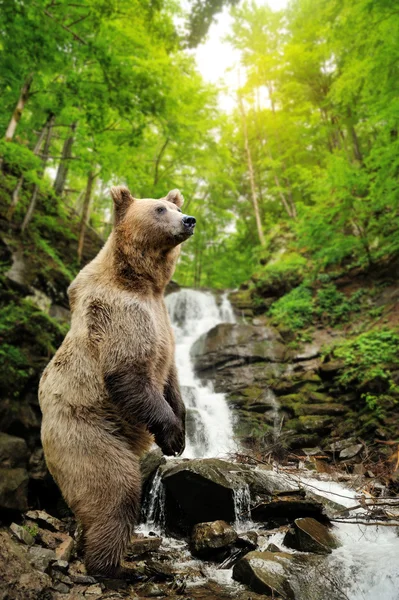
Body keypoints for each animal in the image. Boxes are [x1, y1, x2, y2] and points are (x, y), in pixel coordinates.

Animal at [39, 186, 196, 576]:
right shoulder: (117, 313)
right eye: (159, 209)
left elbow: (172, 379)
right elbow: (127, 372)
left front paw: (181, 433)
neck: (142, 281)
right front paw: (171, 435)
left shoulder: (163, 320)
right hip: (86, 433)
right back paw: (109, 564)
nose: (188, 220)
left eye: (175, 206)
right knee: (114, 491)